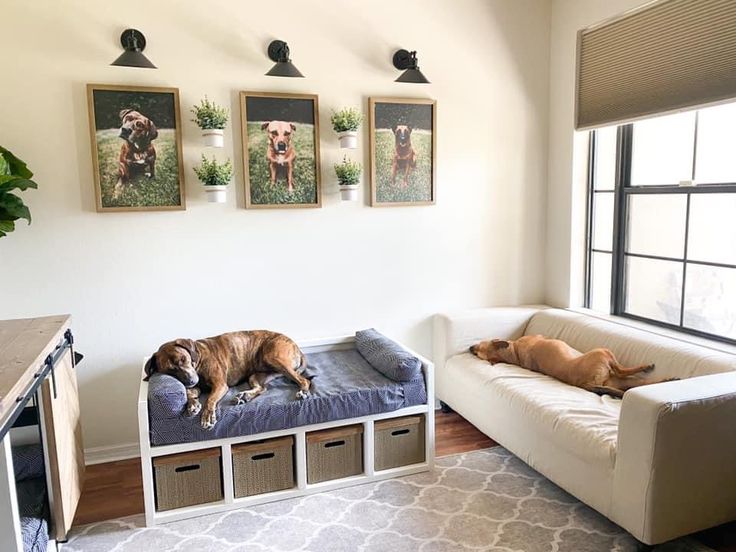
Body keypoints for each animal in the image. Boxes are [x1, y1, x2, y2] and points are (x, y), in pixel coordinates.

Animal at [145, 330, 310, 430]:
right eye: (169, 370)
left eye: (183, 359)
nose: (190, 381)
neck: (198, 359)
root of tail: (297, 347)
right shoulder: (195, 386)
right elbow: (191, 393)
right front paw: (192, 404)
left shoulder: (219, 385)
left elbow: (210, 399)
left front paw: (207, 416)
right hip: (257, 375)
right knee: (262, 388)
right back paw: (245, 396)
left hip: (274, 358)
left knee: (304, 380)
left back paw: (302, 391)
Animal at [472, 332, 672, 396]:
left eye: (479, 349)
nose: (470, 347)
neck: (513, 353)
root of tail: (585, 384)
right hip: (603, 352)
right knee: (623, 371)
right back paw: (646, 367)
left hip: (617, 381)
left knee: (638, 384)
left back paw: (668, 379)